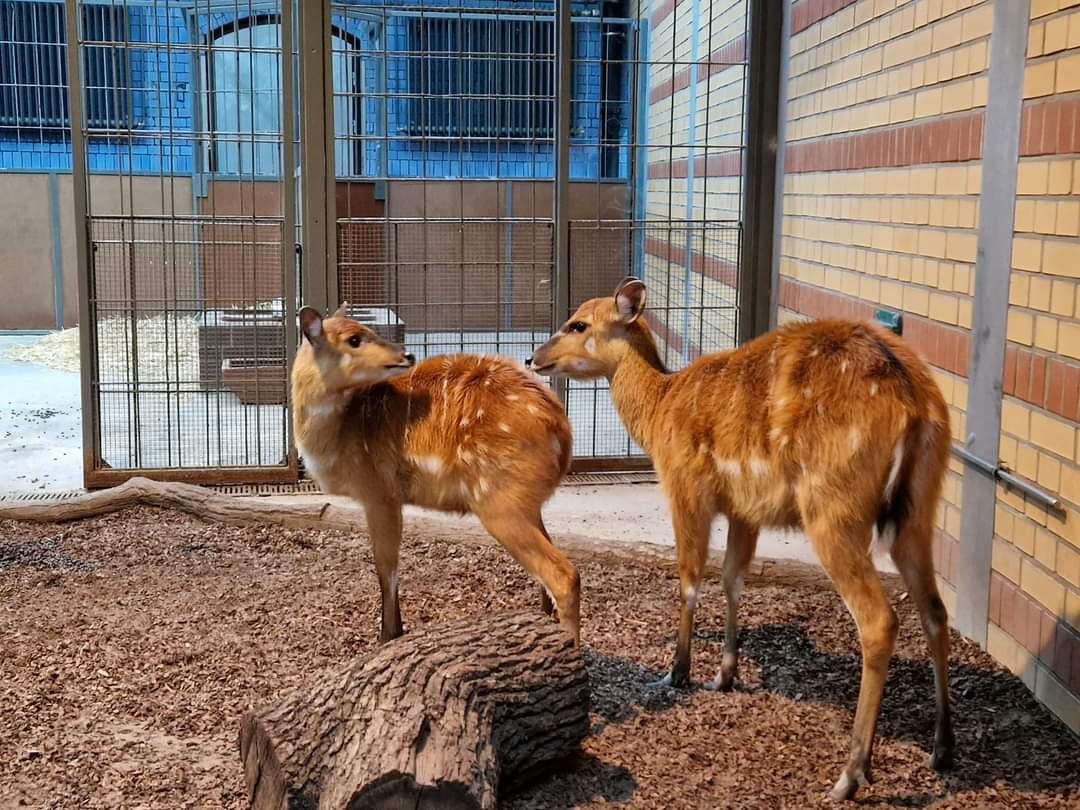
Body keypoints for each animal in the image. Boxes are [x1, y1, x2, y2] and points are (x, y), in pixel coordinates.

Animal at [292, 304, 580, 644]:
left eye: (363, 332)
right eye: (354, 339)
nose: (406, 354)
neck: (341, 433)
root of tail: (560, 429)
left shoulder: (380, 494)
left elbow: (385, 568)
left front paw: (387, 637)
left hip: (498, 502)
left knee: (564, 575)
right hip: (525, 502)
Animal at [528, 278, 954, 800]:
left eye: (579, 324)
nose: (533, 357)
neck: (661, 407)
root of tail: (913, 402)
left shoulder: (686, 490)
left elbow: (690, 578)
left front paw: (677, 672)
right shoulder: (744, 510)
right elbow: (733, 579)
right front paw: (724, 675)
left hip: (833, 511)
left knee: (879, 620)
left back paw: (848, 776)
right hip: (919, 510)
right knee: (935, 610)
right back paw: (942, 748)